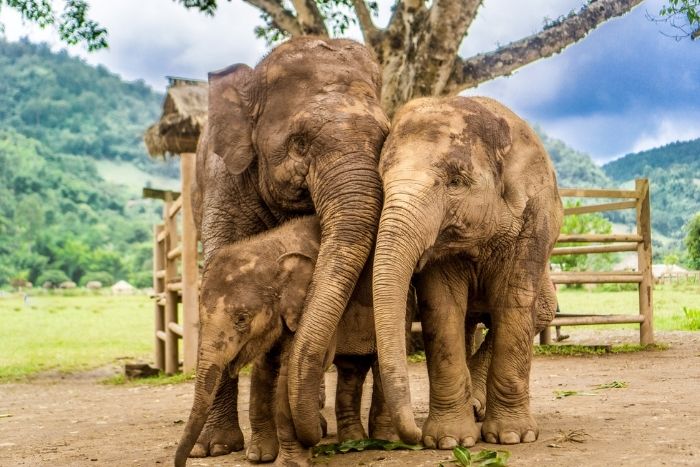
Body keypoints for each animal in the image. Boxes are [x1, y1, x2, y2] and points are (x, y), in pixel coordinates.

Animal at [175, 216, 405, 466]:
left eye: (241, 319)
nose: (185, 461)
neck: (271, 248)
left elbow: (291, 366)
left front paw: (291, 461)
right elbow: (264, 367)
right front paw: (259, 456)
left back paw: (384, 438)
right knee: (351, 367)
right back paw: (352, 439)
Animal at [371, 96, 564, 448]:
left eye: (456, 181)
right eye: (380, 181)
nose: (413, 435)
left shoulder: (534, 220)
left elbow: (513, 303)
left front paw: (512, 437)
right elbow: (442, 308)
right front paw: (449, 442)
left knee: (539, 313)